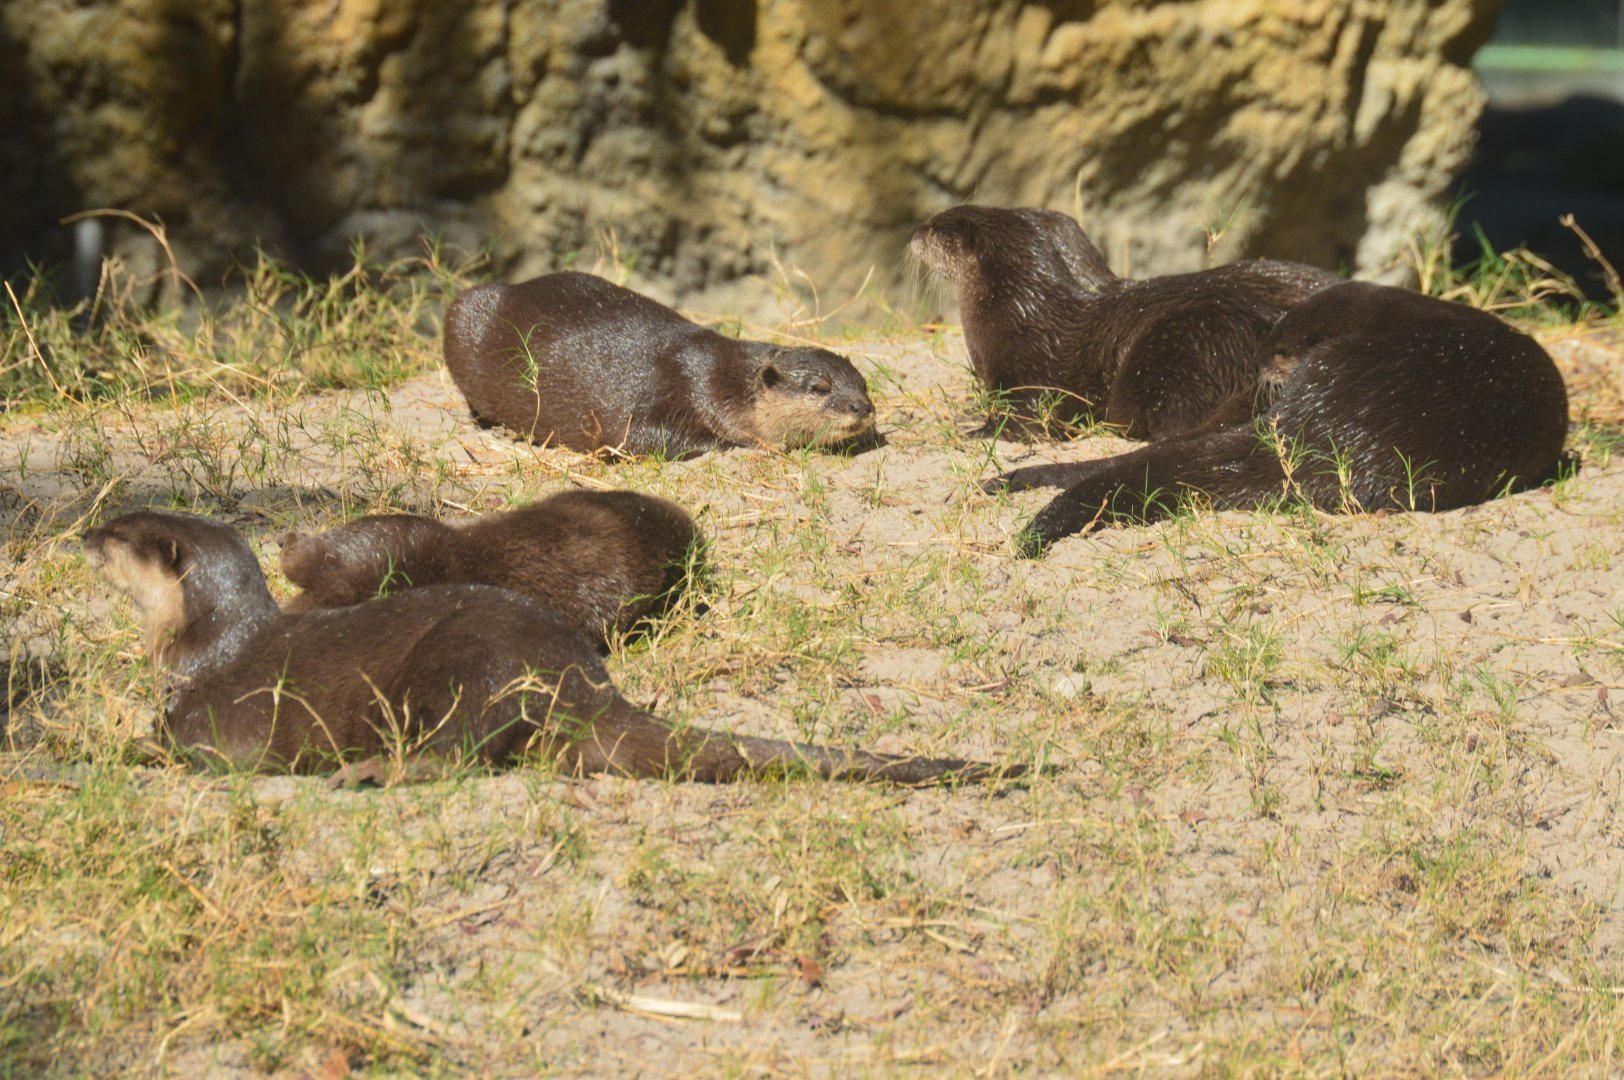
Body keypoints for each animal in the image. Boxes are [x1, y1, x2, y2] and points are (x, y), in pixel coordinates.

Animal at [83, 511, 1011, 783]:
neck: (207, 641)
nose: (85, 532)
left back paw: (371, 769)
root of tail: (576, 681)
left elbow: (194, 746)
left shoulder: (218, 703)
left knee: (461, 751)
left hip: (465, 668)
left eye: (122, 533)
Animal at [443, 271, 876, 456]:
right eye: (820, 388)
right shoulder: (660, 394)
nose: (862, 407)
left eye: (863, 384)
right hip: (463, 310)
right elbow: (640, 438)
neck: (715, 378)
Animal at [910, 204, 1341, 438]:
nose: (912, 234)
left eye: (934, 228)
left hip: (1181, 348)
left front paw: (973, 428)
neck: (1017, 312)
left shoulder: (1032, 377)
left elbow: (1029, 420)